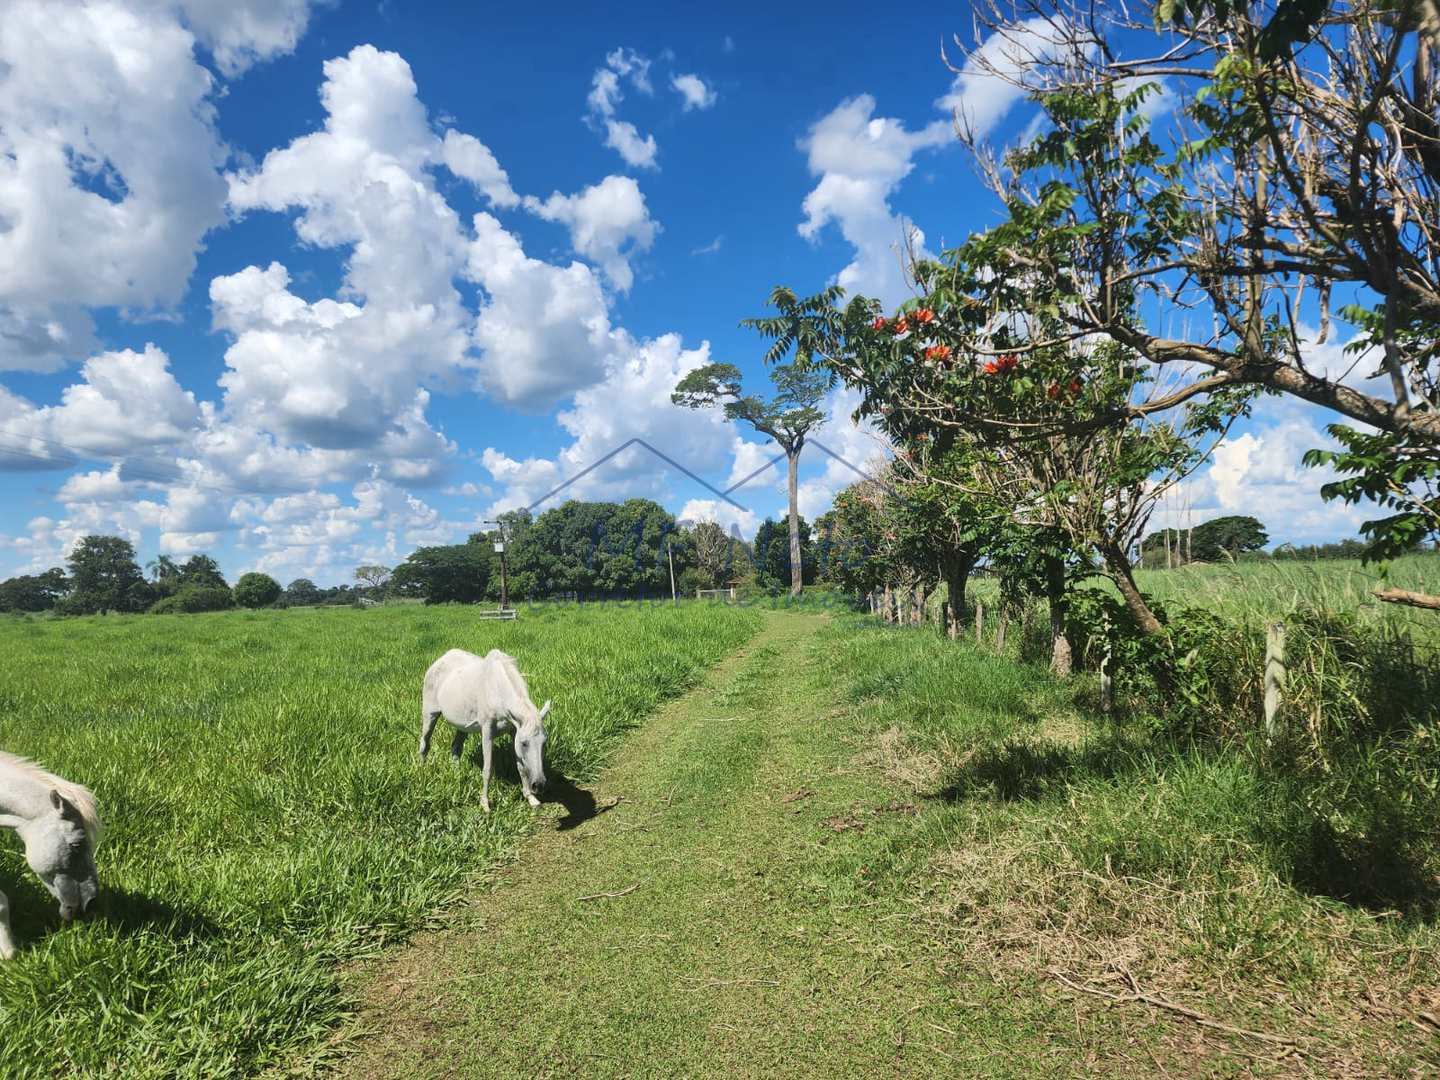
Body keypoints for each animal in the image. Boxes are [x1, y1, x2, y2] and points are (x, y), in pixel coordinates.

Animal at [420, 650, 550, 812]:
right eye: (524, 743)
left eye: (544, 743)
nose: (539, 785)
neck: (497, 689)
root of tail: (438, 661)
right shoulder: (487, 732)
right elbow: (487, 769)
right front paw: (485, 804)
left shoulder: (514, 731)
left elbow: (521, 767)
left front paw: (530, 798)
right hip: (429, 715)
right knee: (425, 744)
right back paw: (423, 771)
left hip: (462, 725)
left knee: (455, 748)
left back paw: (458, 775)